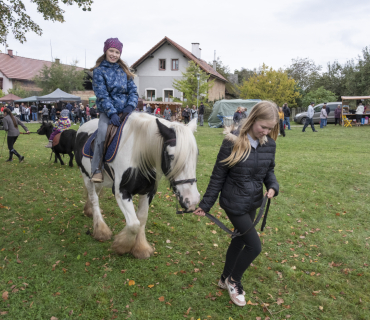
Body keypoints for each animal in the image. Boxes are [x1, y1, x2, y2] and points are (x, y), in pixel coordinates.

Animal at [74, 114, 199, 258]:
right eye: (172, 156)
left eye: (196, 155)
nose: (192, 200)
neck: (139, 154)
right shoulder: (122, 192)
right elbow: (134, 224)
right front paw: (122, 246)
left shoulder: (148, 192)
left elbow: (142, 218)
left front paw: (140, 248)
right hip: (86, 175)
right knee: (94, 198)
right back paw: (101, 230)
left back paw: (89, 211)